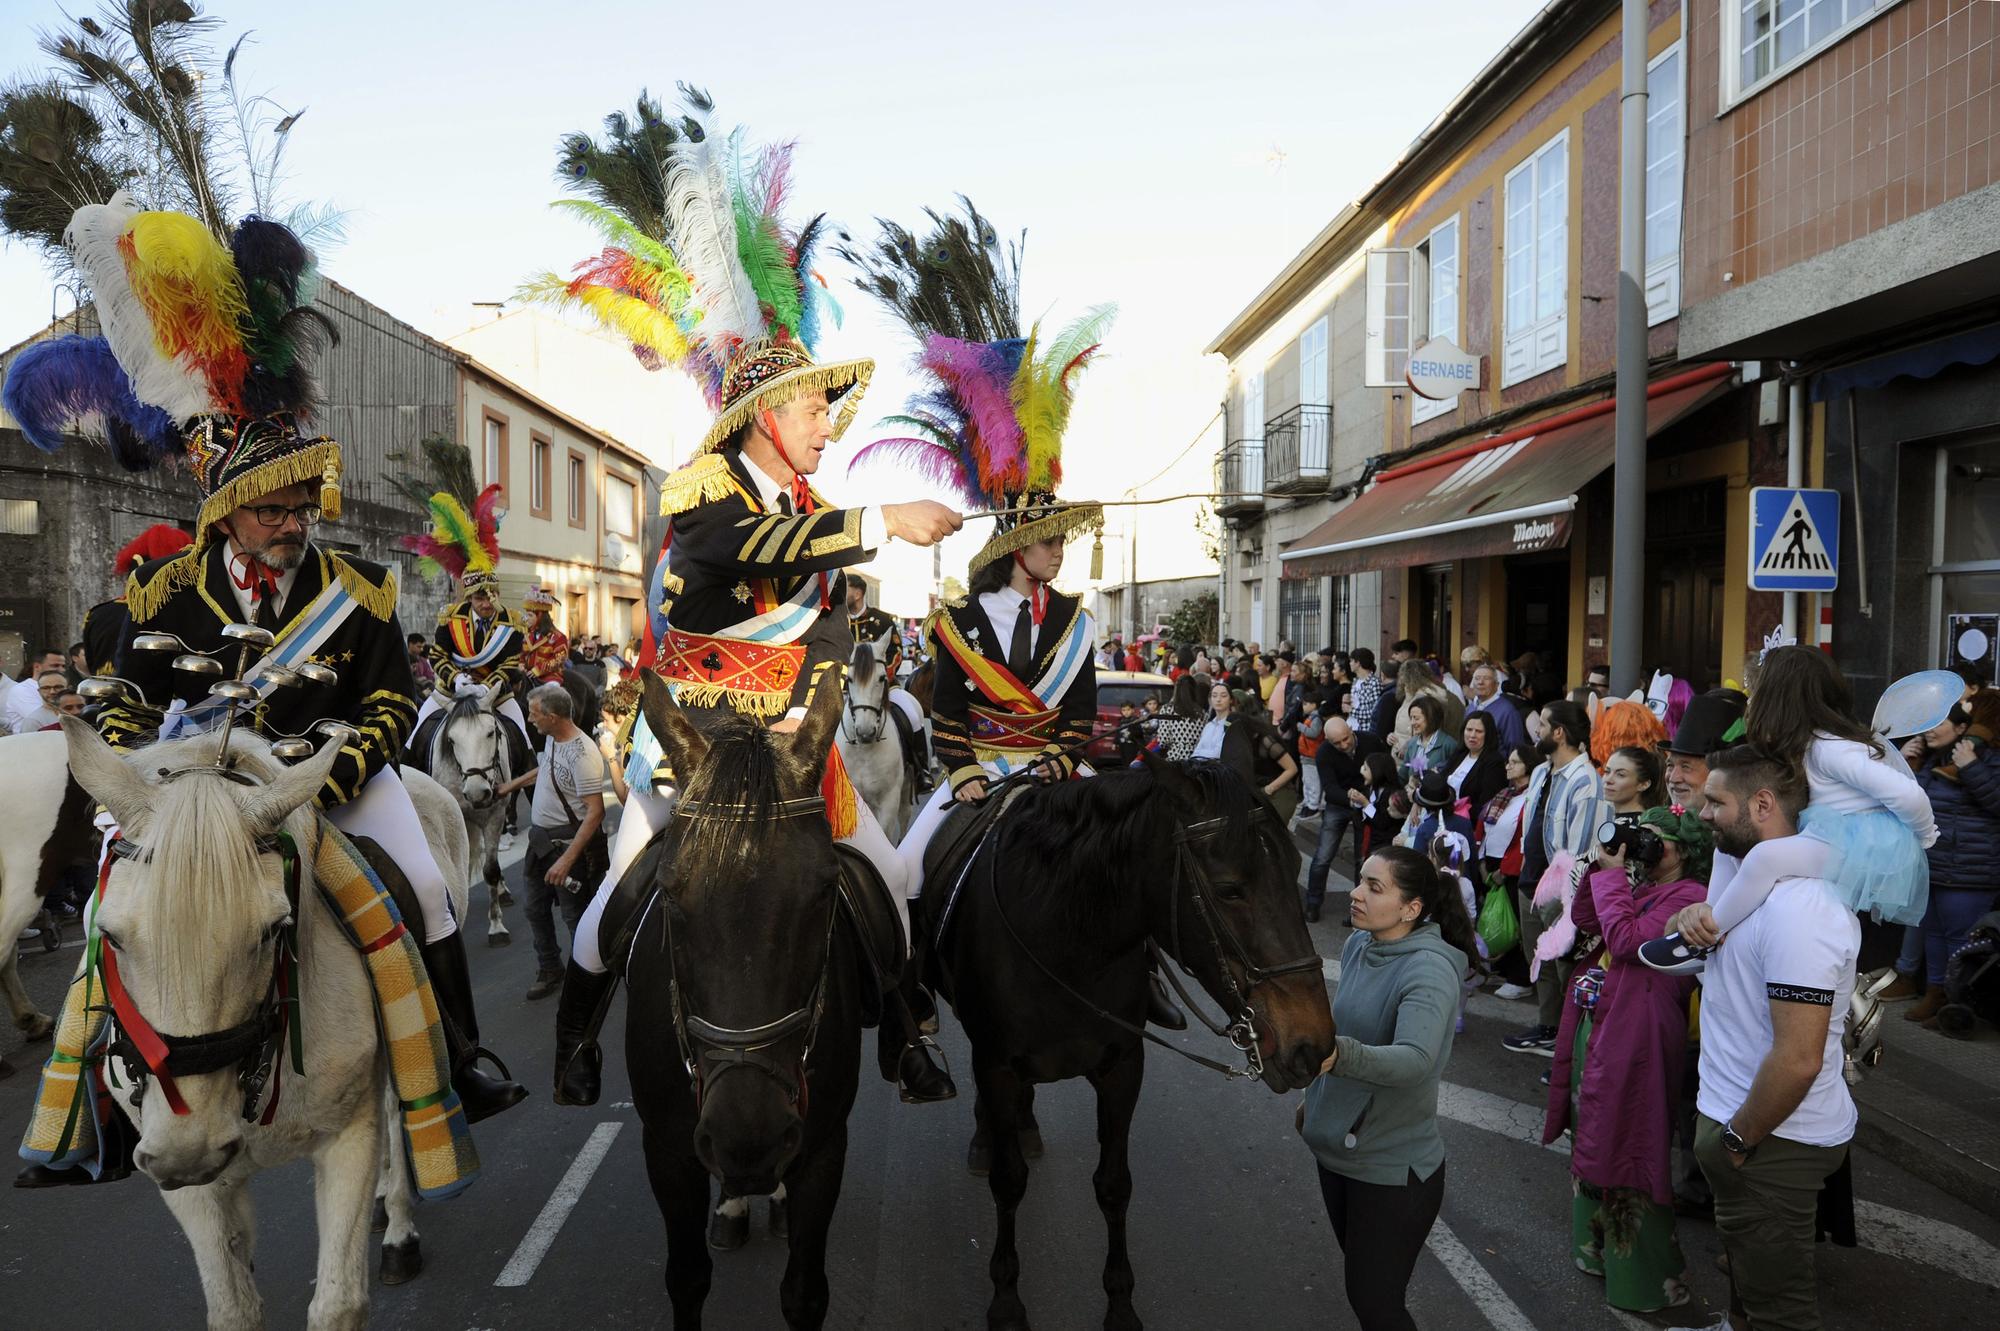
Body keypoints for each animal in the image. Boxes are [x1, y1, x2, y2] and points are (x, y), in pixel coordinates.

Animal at [59, 715, 468, 1327]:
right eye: (109, 935)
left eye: (275, 929)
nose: (189, 1151)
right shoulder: (193, 1184)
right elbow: (232, 1306)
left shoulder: (346, 1138)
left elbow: (338, 1303)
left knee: (399, 1109)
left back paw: (397, 1227)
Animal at [422, 683, 512, 943]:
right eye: (451, 740)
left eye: (491, 733)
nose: (477, 793)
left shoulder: (495, 816)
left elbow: (491, 870)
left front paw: (497, 926)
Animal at [628, 675, 872, 1327]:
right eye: (669, 892)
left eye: (826, 890)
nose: (749, 1136)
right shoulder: (667, 1151)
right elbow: (686, 1280)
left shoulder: (824, 1148)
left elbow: (805, 1292)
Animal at [836, 635, 916, 839]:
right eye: (849, 679)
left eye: (881, 678)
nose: (865, 732)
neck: (863, 751)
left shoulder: (889, 801)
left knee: (905, 815)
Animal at [916, 755, 1328, 1327]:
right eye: (1229, 890)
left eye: (1293, 871)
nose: (1312, 1044)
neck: (1066, 939)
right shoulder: (996, 1064)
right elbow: (1008, 1180)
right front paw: (1006, 1301)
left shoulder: (1123, 1067)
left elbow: (1114, 1185)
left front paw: (1120, 1304)